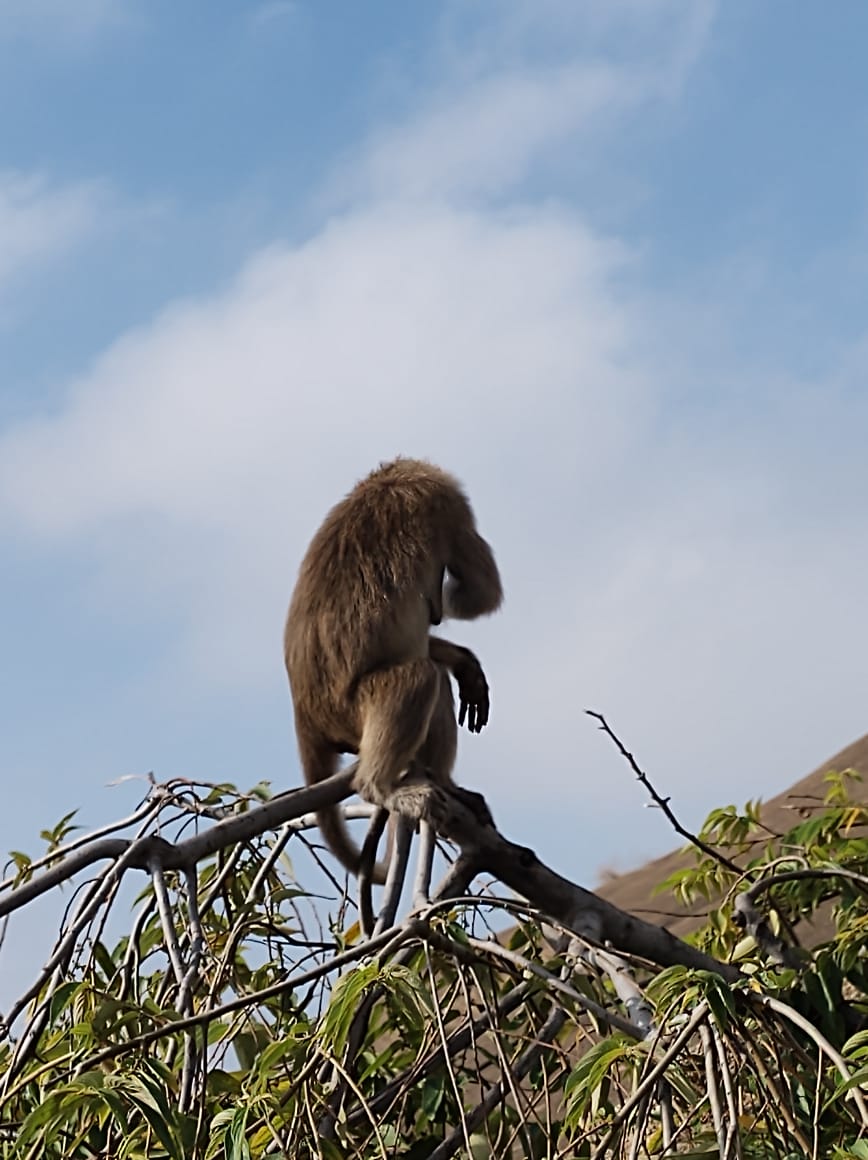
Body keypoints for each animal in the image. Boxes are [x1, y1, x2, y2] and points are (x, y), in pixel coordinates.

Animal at [284, 452, 501, 876]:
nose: (435, 609)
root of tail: (305, 712)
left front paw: (463, 659)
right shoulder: (449, 506)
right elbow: (480, 595)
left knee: (432, 677)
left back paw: (446, 783)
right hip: (349, 713)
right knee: (419, 677)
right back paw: (380, 786)